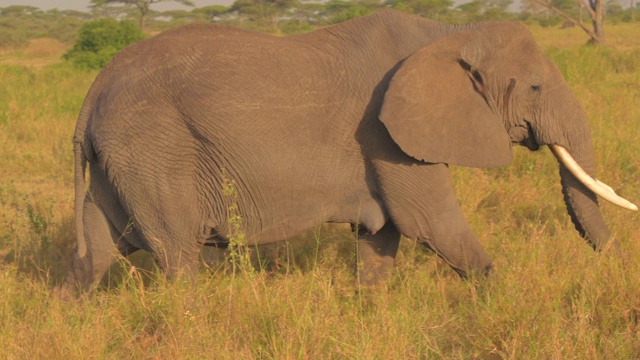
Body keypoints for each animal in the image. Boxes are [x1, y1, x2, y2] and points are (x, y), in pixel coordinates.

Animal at [60, 9, 636, 292]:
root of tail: (93, 91)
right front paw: (504, 302)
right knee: (180, 259)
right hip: (153, 151)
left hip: (120, 160)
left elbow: (382, 236)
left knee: (96, 254)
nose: (617, 268)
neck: (448, 33)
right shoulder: (384, 132)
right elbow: (430, 223)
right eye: (535, 87)